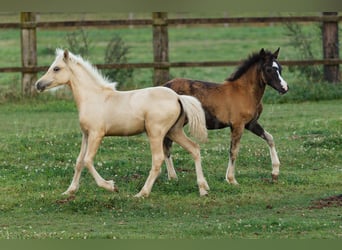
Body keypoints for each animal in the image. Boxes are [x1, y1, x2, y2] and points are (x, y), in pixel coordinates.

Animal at [35, 49, 208, 197]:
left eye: (56, 68)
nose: (38, 85)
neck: (93, 97)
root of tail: (178, 97)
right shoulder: (86, 134)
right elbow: (79, 162)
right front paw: (69, 191)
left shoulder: (97, 134)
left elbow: (87, 161)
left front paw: (110, 186)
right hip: (174, 131)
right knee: (194, 149)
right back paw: (203, 189)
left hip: (156, 132)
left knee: (158, 159)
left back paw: (142, 193)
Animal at [164, 48, 288, 185]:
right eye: (268, 69)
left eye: (280, 68)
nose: (285, 88)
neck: (245, 92)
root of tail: (164, 86)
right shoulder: (238, 125)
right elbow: (234, 151)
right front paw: (231, 179)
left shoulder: (250, 123)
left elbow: (269, 138)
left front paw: (275, 173)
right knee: (167, 144)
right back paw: (172, 176)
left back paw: (172, 176)